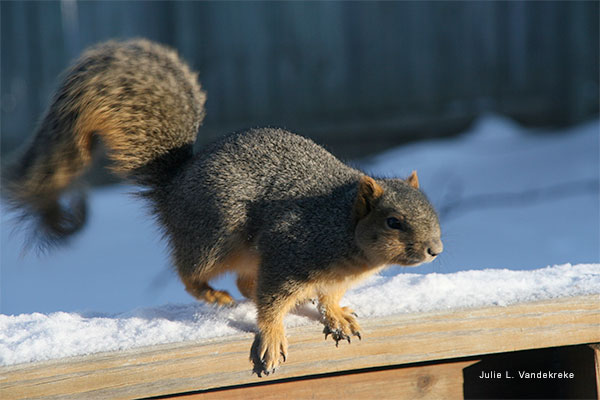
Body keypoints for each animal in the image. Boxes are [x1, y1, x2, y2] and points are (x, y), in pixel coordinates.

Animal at [2, 39, 442, 376]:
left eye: (431, 209)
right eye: (393, 221)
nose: (435, 249)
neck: (341, 229)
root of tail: (176, 186)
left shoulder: (328, 277)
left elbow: (326, 298)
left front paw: (336, 317)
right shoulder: (289, 252)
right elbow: (270, 303)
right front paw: (271, 339)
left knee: (246, 282)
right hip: (216, 238)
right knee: (195, 274)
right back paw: (213, 295)